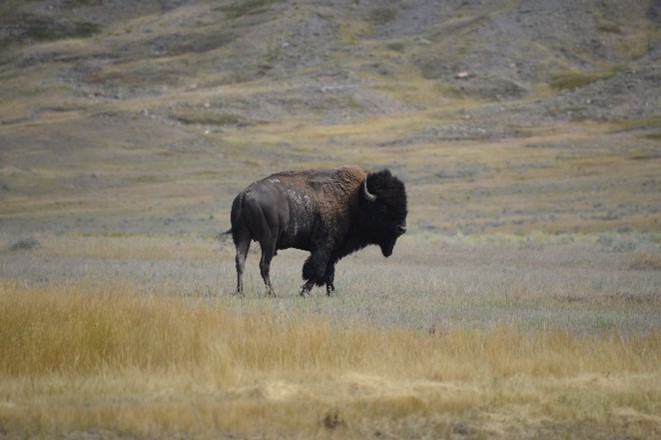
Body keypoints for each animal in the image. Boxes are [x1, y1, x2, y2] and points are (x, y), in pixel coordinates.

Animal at [228, 165, 407, 296]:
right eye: (384, 207)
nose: (402, 228)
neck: (355, 200)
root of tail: (245, 194)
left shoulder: (335, 249)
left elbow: (329, 271)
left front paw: (331, 292)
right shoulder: (324, 246)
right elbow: (318, 269)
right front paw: (304, 291)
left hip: (242, 237)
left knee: (240, 261)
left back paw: (240, 292)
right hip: (268, 241)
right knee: (264, 265)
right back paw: (272, 292)